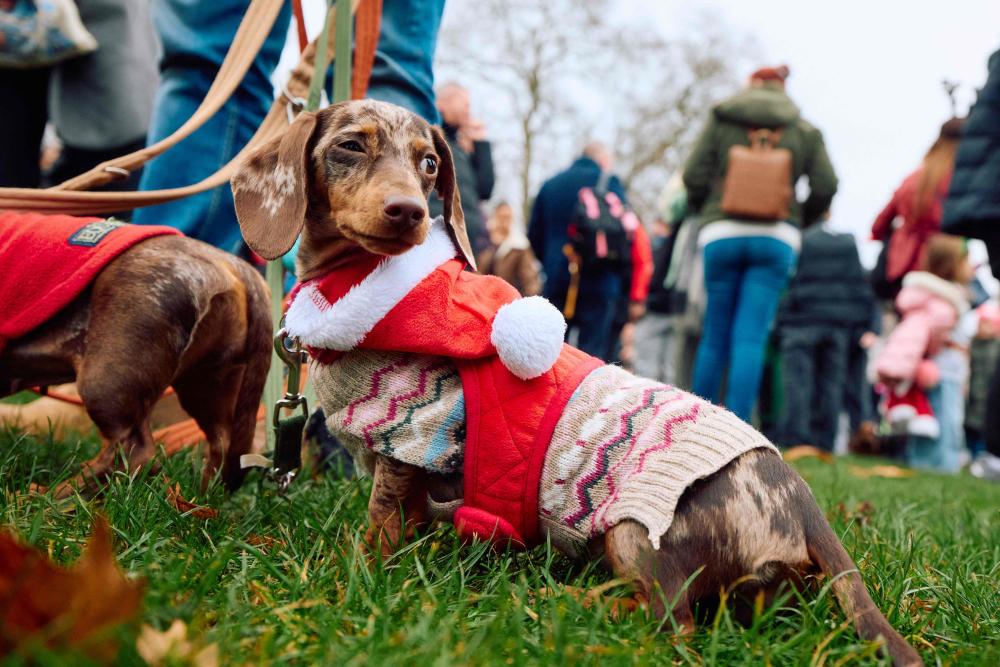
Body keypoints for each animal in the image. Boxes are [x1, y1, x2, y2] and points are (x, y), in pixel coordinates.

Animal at [1, 218, 271, 496]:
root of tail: (234, 266)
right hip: (207, 382)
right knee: (222, 444)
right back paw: (200, 495)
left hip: (106, 380)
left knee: (134, 453)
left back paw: (50, 495)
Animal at [231, 100, 922, 666]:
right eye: (350, 146)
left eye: (428, 162)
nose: (408, 214)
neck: (370, 293)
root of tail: (803, 504)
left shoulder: (413, 439)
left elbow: (381, 518)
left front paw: (359, 569)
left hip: (632, 530)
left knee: (671, 620)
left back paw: (569, 602)